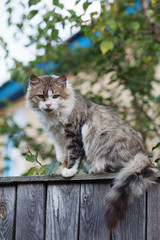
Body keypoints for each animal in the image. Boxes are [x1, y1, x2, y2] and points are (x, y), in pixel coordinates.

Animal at [26, 72, 160, 231]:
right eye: (41, 96)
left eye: (55, 96)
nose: (48, 104)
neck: (53, 117)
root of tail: (143, 155)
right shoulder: (57, 139)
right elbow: (62, 158)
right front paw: (59, 169)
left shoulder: (75, 133)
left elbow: (74, 156)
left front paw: (69, 171)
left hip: (104, 137)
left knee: (118, 167)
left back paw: (96, 169)